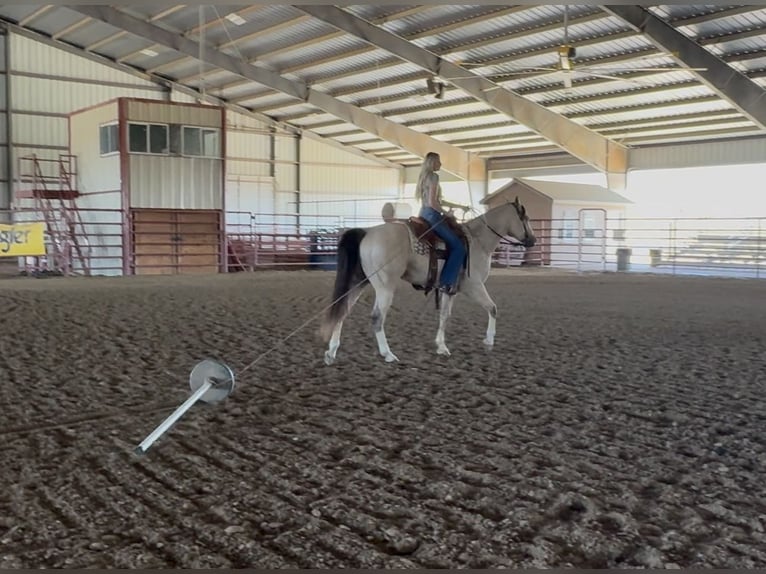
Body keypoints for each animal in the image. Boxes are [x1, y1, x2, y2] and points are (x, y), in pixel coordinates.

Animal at [319, 197, 536, 364]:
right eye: (525, 218)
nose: (533, 240)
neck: (477, 240)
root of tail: (368, 232)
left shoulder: (450, 289)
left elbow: (445, 316)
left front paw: (442, 347)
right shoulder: (474, 286)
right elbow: (493, 308)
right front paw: (489, 341)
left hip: (359, 282)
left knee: (342, 310)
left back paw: (331, 352)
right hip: (385, 287)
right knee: (376, 317)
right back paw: (387, 354)